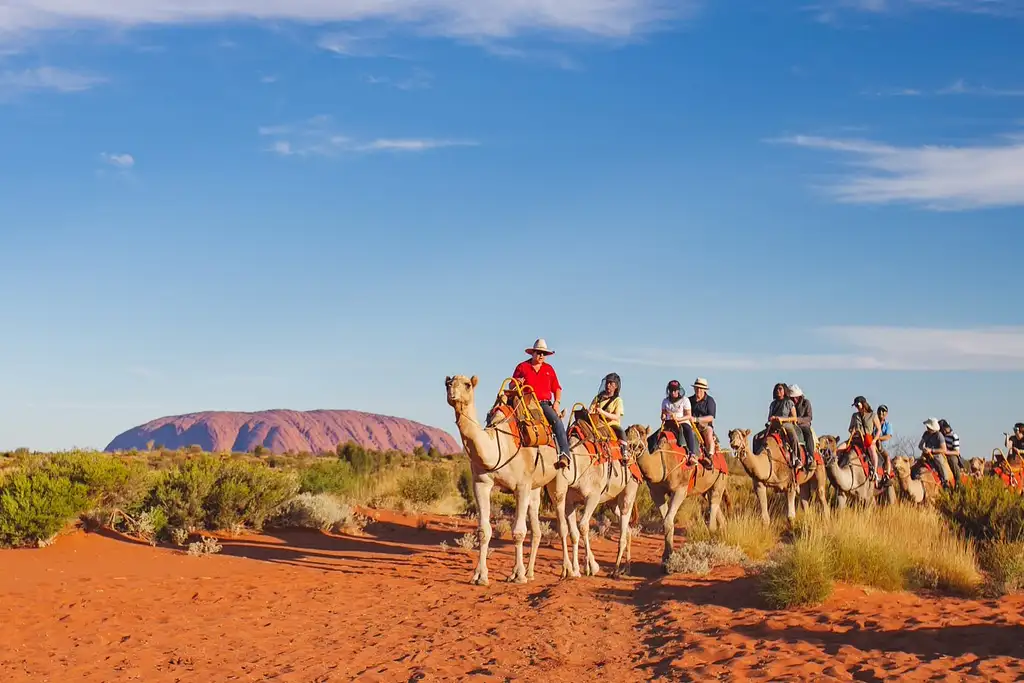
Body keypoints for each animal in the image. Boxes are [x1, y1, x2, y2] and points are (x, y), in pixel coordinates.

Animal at [440, 376, 569, 585]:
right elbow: (484, 531)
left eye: (467, 385)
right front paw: (480, 576)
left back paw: (568, 570)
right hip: (535, 487)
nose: (452, 393)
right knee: (536, 527)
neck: (499, 446)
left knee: (562, 522)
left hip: (558, 480)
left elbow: (518, 532)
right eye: (448, 383)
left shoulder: (521, 485)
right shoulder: (482, 483)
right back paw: (531, 572)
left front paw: (518, 575)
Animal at [561, 423, 647, 581]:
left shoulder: (593, 496)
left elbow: (583, 527)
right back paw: (626, 568)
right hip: (613, 502)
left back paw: (615, 571)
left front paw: (592, 567)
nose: (641, 446)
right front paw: (575, 571)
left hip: (629, 491)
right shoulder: (569, 502)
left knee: (623, 527)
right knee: (627, 530)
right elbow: (574, 533)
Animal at [630, 428, 729, 565]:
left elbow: (668, 521)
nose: (630, 440)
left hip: (720, 479)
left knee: (714, 504)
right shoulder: (655, 492)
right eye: (626, 431)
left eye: (642, 433)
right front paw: (666, 557)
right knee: (716, 508)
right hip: (706, 490)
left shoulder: (680, 489)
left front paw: (668, 558)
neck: (663, 461)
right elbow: (667, 522)